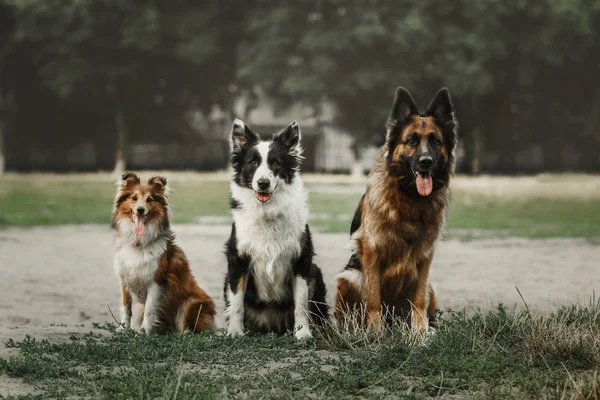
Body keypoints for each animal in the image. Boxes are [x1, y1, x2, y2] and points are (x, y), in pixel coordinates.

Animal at [336, 88, 458, 334]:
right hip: (349, 277)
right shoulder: (371, 250)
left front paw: (420, 334)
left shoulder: (425, 255)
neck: (409, 198)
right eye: (411, 141)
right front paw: (375, 334)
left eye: (435, 141)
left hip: (431, 288)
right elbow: (373, 298)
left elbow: (419, 300)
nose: (426, 162)